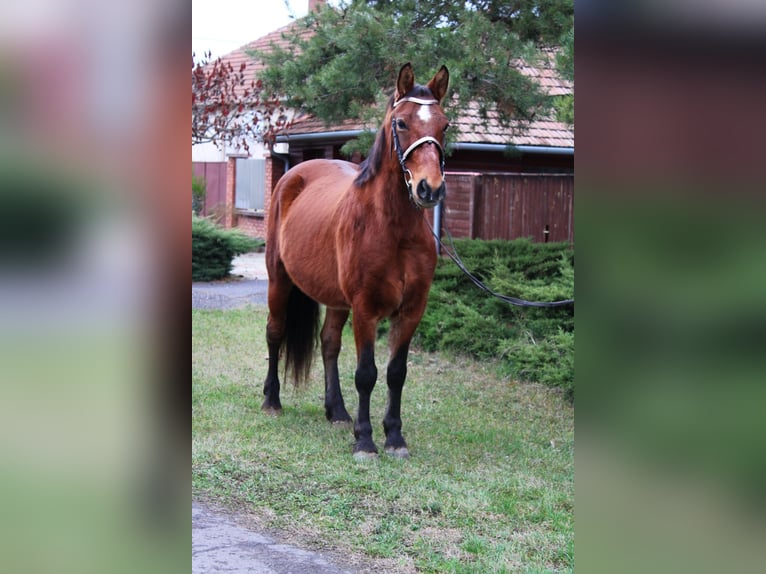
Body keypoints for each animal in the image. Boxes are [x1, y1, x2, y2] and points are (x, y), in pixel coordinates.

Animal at [262, 63, 450, 459]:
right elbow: (367, 373)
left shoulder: (412, 309)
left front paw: (394, 436)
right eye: (401, 123)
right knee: (275, 332)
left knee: (329, 342)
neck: (393, 228)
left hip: (336, 299)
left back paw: (337, 411)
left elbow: (396, 372)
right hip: (279, 281)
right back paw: (272, 401)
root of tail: (292, 175)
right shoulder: (365, 308)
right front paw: (365, 440)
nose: (429, 188)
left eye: (444, 125)